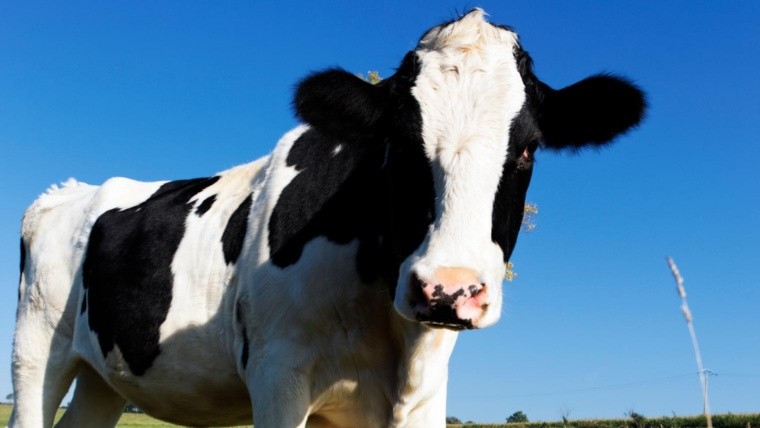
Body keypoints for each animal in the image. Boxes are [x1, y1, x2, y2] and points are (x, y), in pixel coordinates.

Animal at [10, 9, 645, 428]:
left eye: (528, 148)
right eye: (397, 141)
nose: (449, 289)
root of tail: (68, 191)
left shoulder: (425, 398)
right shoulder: (278, 379)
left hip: (101, 377)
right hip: (35, 351)